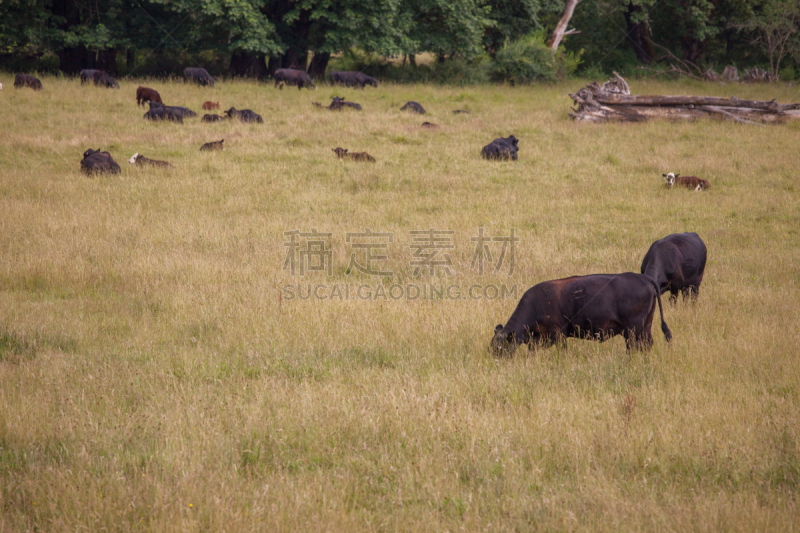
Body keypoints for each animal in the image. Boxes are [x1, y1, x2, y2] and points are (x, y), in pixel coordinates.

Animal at [490, 272, 672, 356]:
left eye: (500, 348)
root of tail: (643, 277)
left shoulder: (559, 334)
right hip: (645, 327)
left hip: (633, 330)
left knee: (634, 346)